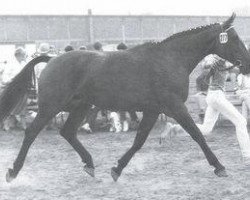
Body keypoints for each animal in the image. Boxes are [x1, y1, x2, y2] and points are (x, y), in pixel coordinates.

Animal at [2, 12, 250, 183]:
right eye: (234, 38)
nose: (246, 64)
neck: (170, 60)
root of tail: (51, 59)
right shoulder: (175, 106)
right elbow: (197, 134)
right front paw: (219, 167)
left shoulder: (153, 110)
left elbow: (139, 140)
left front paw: (116, 169)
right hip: (51, 106)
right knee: (31, 132)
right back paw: (13, 171)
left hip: (82, 106)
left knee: (68, 132)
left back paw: (90, 165)